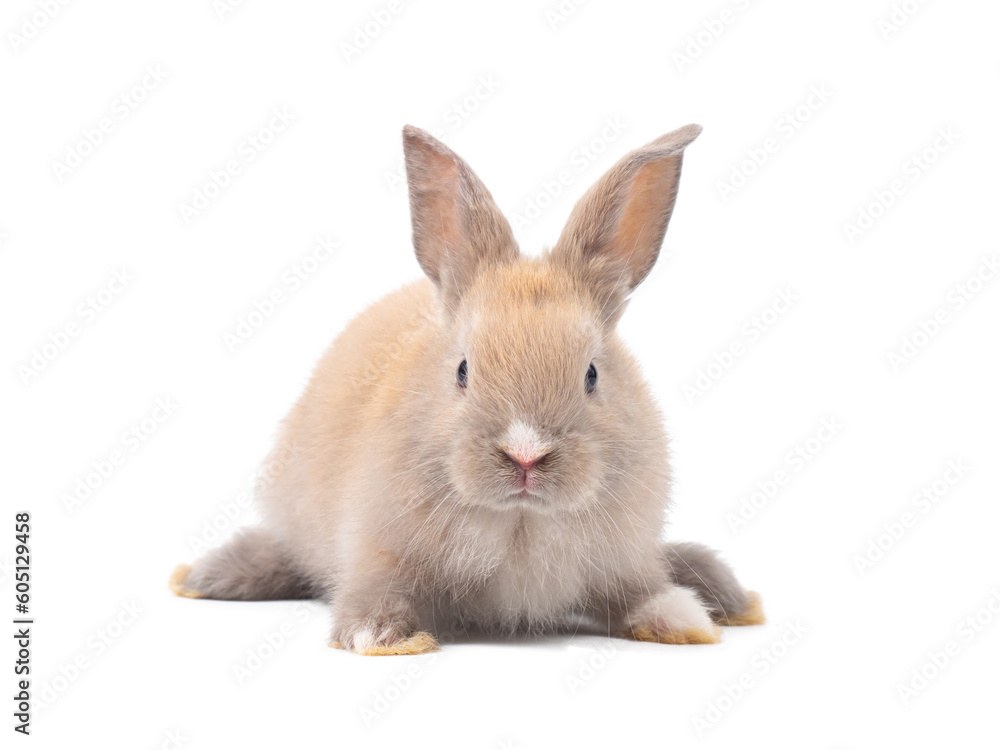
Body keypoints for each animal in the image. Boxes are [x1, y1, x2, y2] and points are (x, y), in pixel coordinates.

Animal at [172, 123, 764, 652]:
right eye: (462, 370)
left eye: (592, 374)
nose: (525, 456)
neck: (521, 522)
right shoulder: (376, 549)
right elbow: (373, 590)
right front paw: (378, 636)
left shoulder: (624, 560)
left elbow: (639, 592)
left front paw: (682, 619)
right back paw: (204, 576)